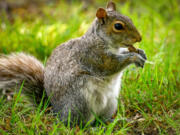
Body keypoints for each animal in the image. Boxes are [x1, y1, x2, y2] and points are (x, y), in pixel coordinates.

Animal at [0, 1, 146, 125]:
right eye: (118, 26)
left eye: (130, 18)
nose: (139, 38)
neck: (100, 39)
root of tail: (56, 112)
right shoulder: (94, 55)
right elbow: (112, 65)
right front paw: (134, 57)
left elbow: (122, 53)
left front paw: (141, 52)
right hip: (81, 101)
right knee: (77, 124)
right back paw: (92, 128)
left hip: (110, 103)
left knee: (100, 119)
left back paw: (114, 121)